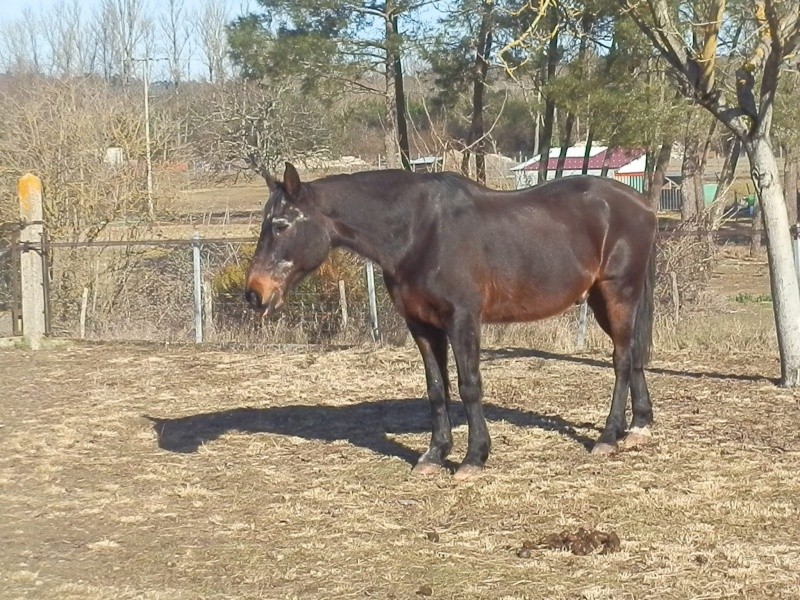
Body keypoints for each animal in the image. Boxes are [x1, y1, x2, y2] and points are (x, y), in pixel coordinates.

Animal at [245, 162, 656, 480]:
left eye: (280, 225)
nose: (254, 293)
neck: (418, 231)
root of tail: (643, 205)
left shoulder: (462, 320)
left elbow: (468, 385)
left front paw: (474, 458)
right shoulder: (422, 326)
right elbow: (436, 388)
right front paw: (434, 454)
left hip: (618, 293)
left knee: (621, 360)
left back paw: (607, 437)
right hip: (604, 300)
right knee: (633, 354)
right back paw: (638, 427)